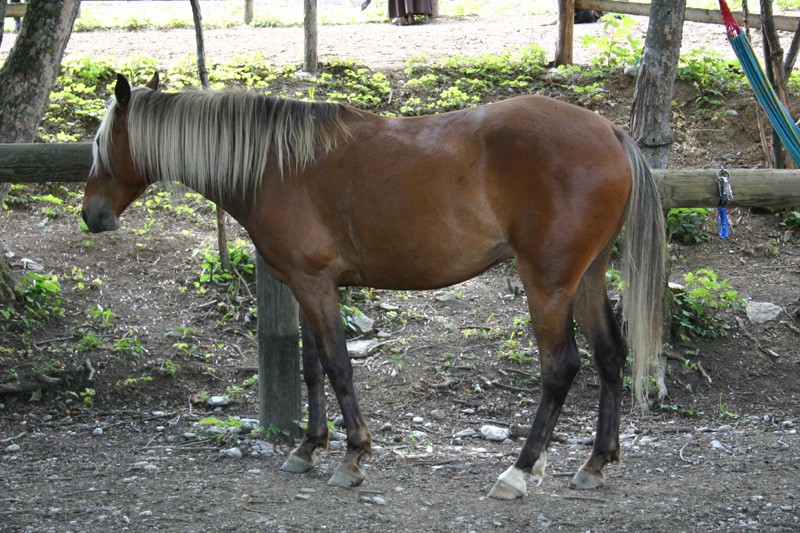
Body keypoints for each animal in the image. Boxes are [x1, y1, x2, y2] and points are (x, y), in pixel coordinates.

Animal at [84, 72, 664, 496]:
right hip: (585, 279)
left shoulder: (315, 285)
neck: (277, 164)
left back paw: (520, 470)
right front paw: (309, 448)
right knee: (610, 355)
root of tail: (610, 134)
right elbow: (312, 368)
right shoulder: (304, 286)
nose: (92, 215)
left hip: (547, 284)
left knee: (561, 367)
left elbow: (339, 365)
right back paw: (595, 463)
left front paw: (353, 455)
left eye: (102, 144)